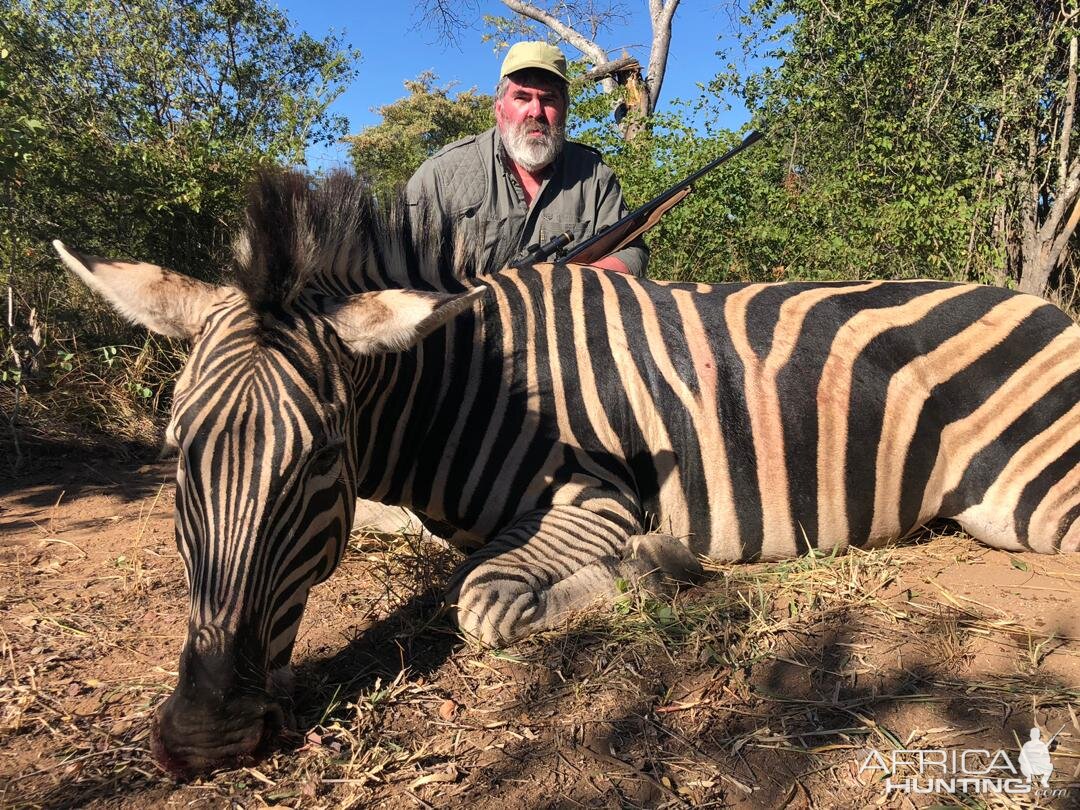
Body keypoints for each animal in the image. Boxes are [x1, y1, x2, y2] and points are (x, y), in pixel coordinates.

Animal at [52, 168, 1080, 777]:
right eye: (178, 450)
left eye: (322, 456)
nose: (204, 736)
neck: (458, 390)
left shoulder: (596, 499)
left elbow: (482, 599)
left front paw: (661, 565)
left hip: (1037, 503)